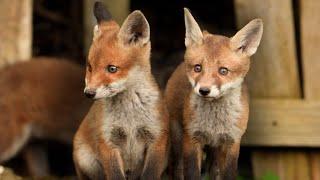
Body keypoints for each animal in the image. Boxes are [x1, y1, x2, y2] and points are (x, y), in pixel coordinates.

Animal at [71, 2, 169, 179]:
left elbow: (150, 174)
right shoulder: (108, 142)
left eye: (112, 69)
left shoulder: (156, 139)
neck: (129, 118)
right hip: (86, 160)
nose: (88, 93)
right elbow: (115, 175)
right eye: (90, 67)